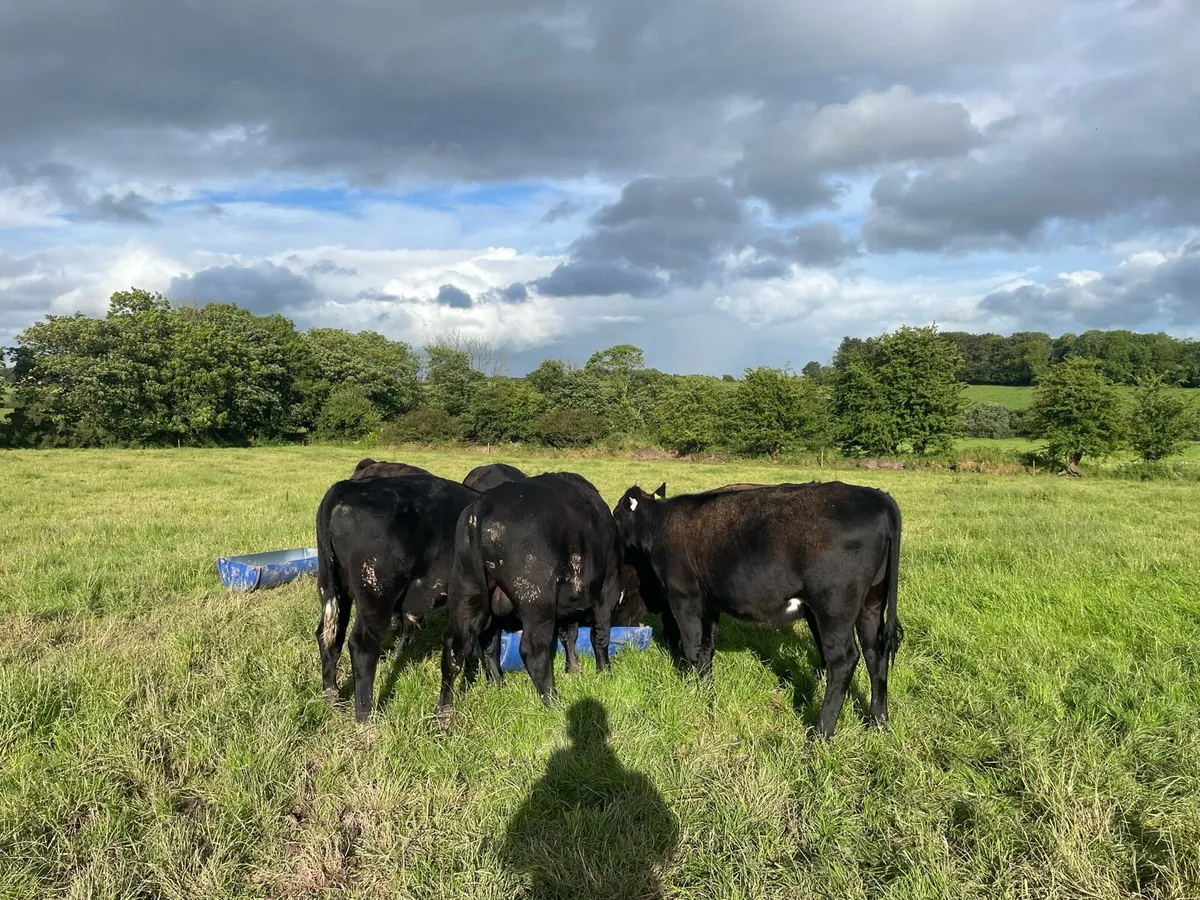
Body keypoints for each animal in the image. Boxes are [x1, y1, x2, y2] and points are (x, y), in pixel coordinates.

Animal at [315, 472, 478, 722]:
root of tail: (347, 486)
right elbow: (457, 649)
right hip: (376, 596)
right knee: (362, 646)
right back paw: (365, 717)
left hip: (334, 590)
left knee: (329, 637)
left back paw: (331, 697)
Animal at [435, 472, 623, 720]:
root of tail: (484, 503)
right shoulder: (608, 589)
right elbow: (600, 635)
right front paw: (604, 674)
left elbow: (569, 634)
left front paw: (573, 669)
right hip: (537, 599)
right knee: (532, 649)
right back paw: (553, 702)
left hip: (466, 588)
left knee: (460, 646)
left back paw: (452, 710)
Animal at [612, 480, 903, 738]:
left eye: (616, 513)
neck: (659, 525)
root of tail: (874, 496)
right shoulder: (710, 602)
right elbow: (707, 648)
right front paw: (707, 691)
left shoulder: (684, 598)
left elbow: (693, 648)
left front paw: (695, 692)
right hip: (871, 602)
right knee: (874, 653)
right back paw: (878, 720)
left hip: (833, 607)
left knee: (843, 660)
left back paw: (822, 730)